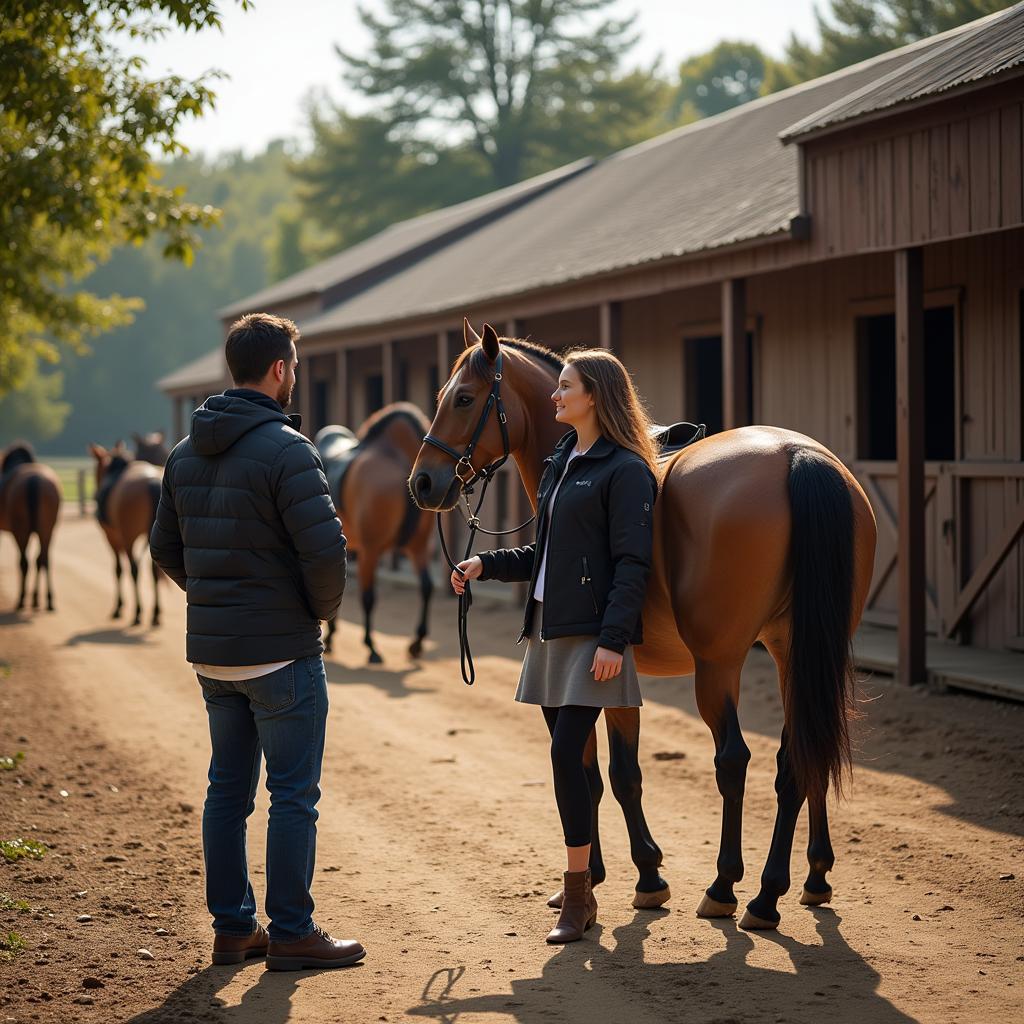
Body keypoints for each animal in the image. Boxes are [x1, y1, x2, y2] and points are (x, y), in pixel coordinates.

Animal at [0, 442, 61, 614]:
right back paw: (46, 600)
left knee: (25, 562)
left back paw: (21, 600)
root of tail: (35, 479)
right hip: (47, 529)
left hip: (21, 531)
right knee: (43, 559)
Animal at [90, 444, 163, 626]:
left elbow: (118, 569)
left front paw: (118, 607)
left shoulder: (112, 538)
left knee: (134, 569)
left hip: (129, 538)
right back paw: (156, 613)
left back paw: (138, 612)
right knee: (153, 570)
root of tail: (151, 480)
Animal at [315, 399, 436, 663]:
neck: (396, 459)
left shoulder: (418, 547)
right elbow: (368, 596)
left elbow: (427, 588)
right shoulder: (370, 550)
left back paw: (331, 638)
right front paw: (371, 647)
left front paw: (417, 643)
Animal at [411, 323, 876, 933]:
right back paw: (802, 881)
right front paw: (625, 875)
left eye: (464, 399)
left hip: (720, 664)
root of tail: (797, 455)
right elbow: (614, 774)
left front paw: (634, 876)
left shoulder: (604, 676)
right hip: (797, 650)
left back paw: (731, 888)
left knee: (734, 761)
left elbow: (606, 775)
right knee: (802, 752)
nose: (423, 482)